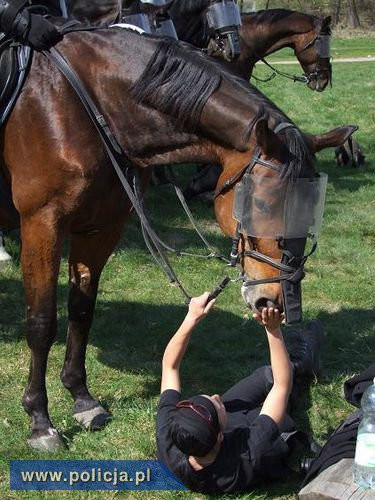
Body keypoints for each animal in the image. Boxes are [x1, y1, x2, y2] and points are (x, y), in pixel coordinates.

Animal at [0, 28, 352, 454]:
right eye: (263, 203)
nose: (275, 301)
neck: (85, 104)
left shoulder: (101, 227)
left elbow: (81, 310)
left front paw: (82, 398)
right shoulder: (42, 225)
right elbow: (41, 323)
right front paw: (40, 419)